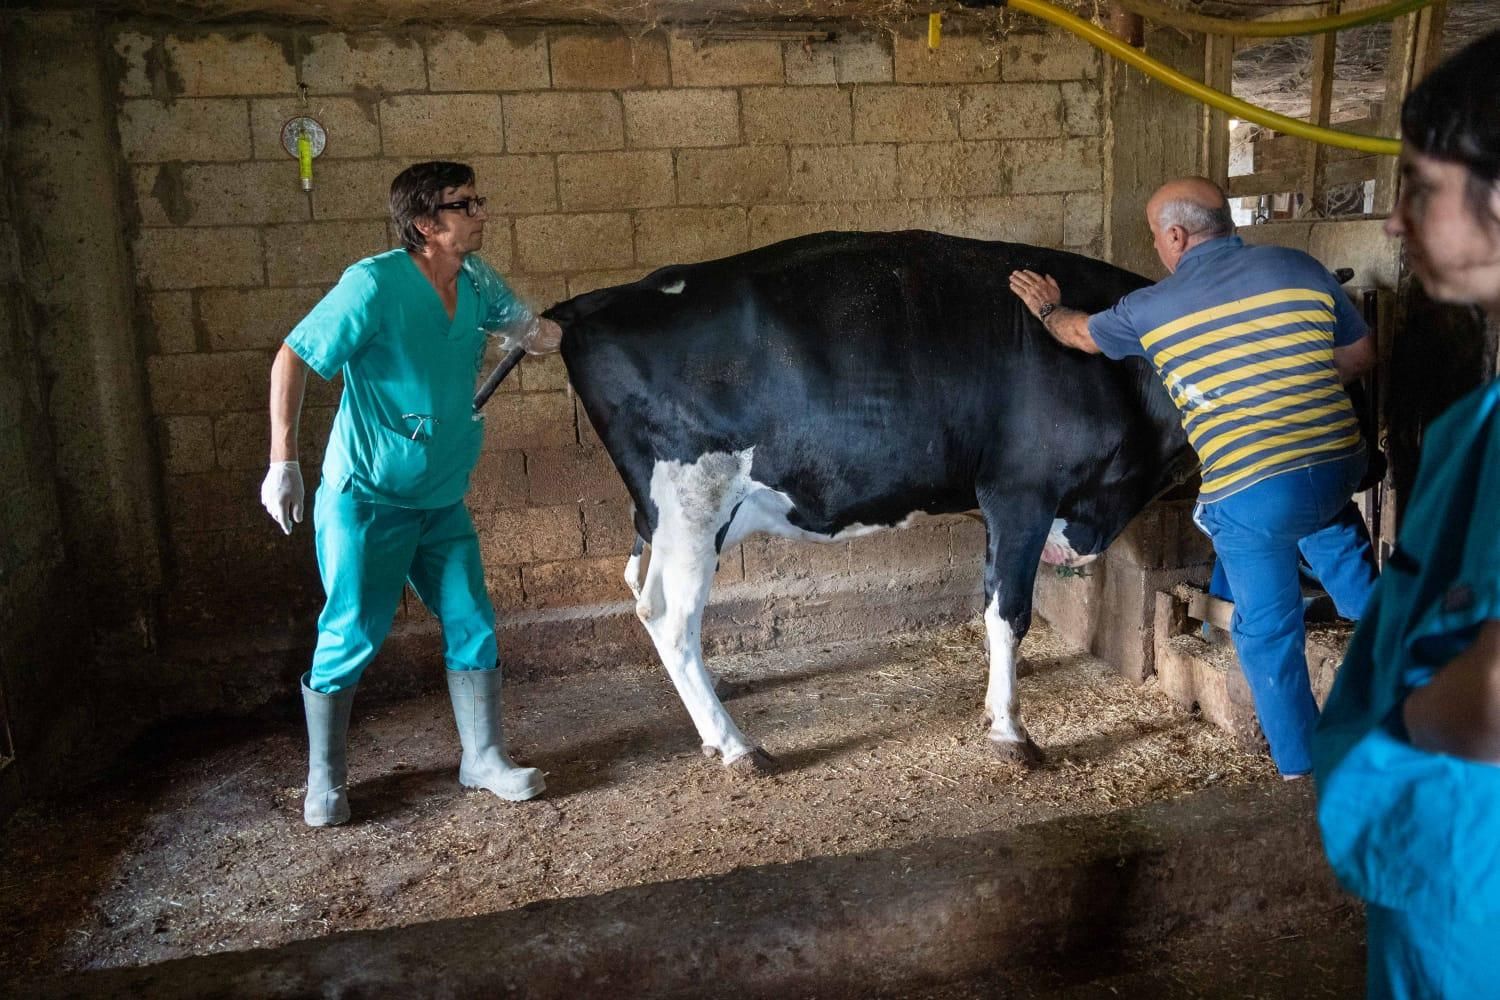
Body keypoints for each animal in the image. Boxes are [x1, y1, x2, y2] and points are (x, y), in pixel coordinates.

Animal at [549, 230, 1194, 773]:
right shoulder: (1020, 493)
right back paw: (736, 746)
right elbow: (1008, 612)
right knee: (668, 614)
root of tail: (593, 301)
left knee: (644, 588)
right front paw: (1011, 731)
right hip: (693, 504)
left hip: (674, 516)